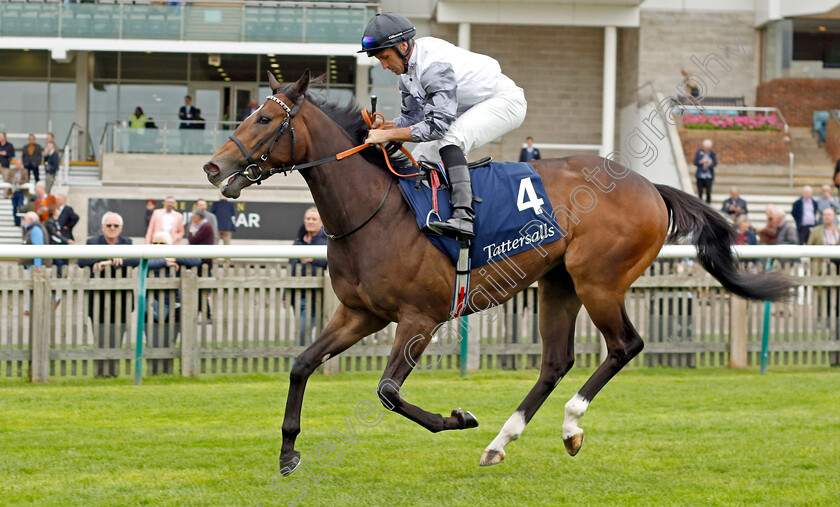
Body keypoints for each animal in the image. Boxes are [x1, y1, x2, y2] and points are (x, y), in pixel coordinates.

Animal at [203, 71, 796, 472]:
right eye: (248, 112)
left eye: (264, 118)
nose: (213, 165)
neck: (375, 209)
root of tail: (650, 186)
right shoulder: (359, 313)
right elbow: (301, 365)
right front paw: (288, 453)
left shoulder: (420, 318)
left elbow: (388, 392)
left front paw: (457, 419)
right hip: (559, 283)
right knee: (556, 361)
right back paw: (502, 442)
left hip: (599, 280)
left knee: (625, 345)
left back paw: (569, 424)